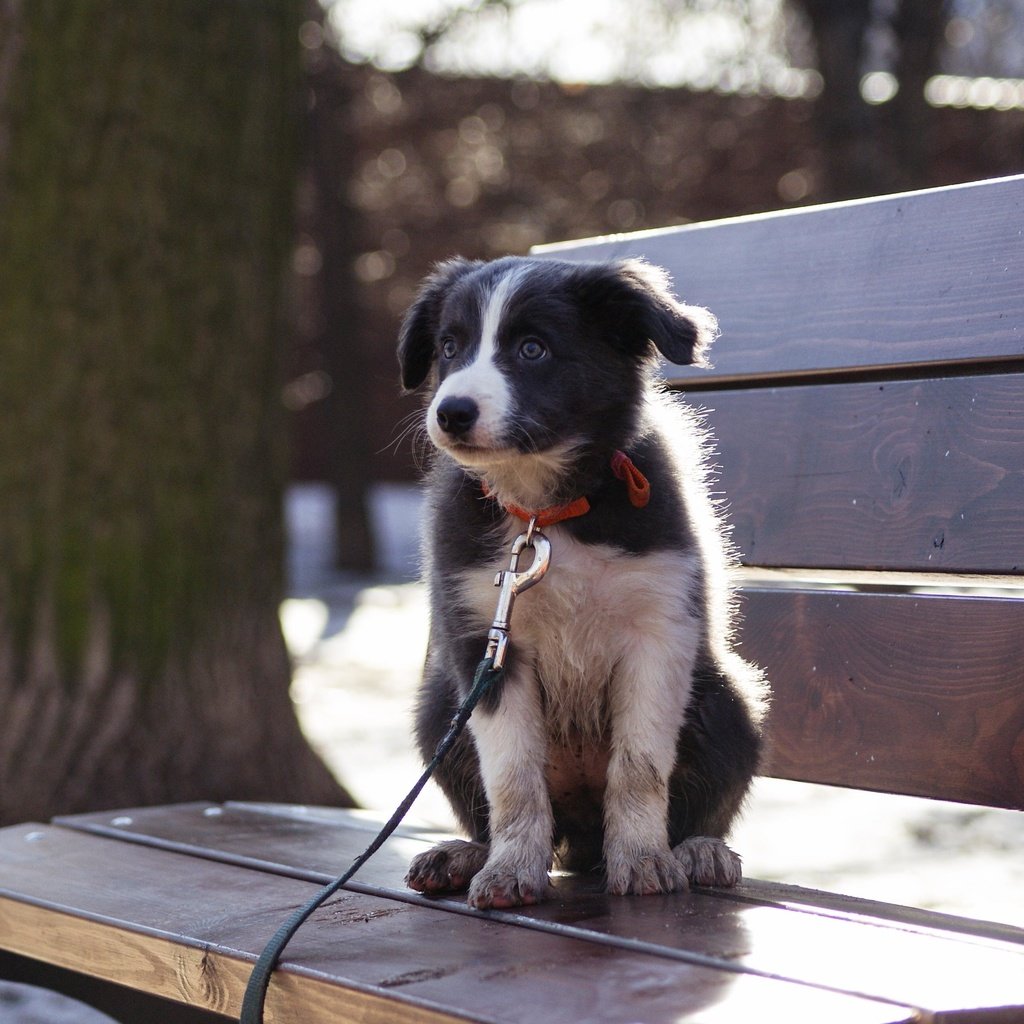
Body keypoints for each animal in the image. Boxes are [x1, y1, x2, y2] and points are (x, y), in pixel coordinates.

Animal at [395, 256, 765, 913]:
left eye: (533, 349)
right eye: (449, 347)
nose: (450, 412)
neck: (546, 514)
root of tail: (582, 843)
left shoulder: (659, 629)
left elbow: (639, 766)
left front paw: (643, 859)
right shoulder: (485, 642)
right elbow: (513, 776)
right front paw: (511, 869)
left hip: (728, 699)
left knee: (701, 801)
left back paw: (698, 850)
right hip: (439, 707)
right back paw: (467, 855)